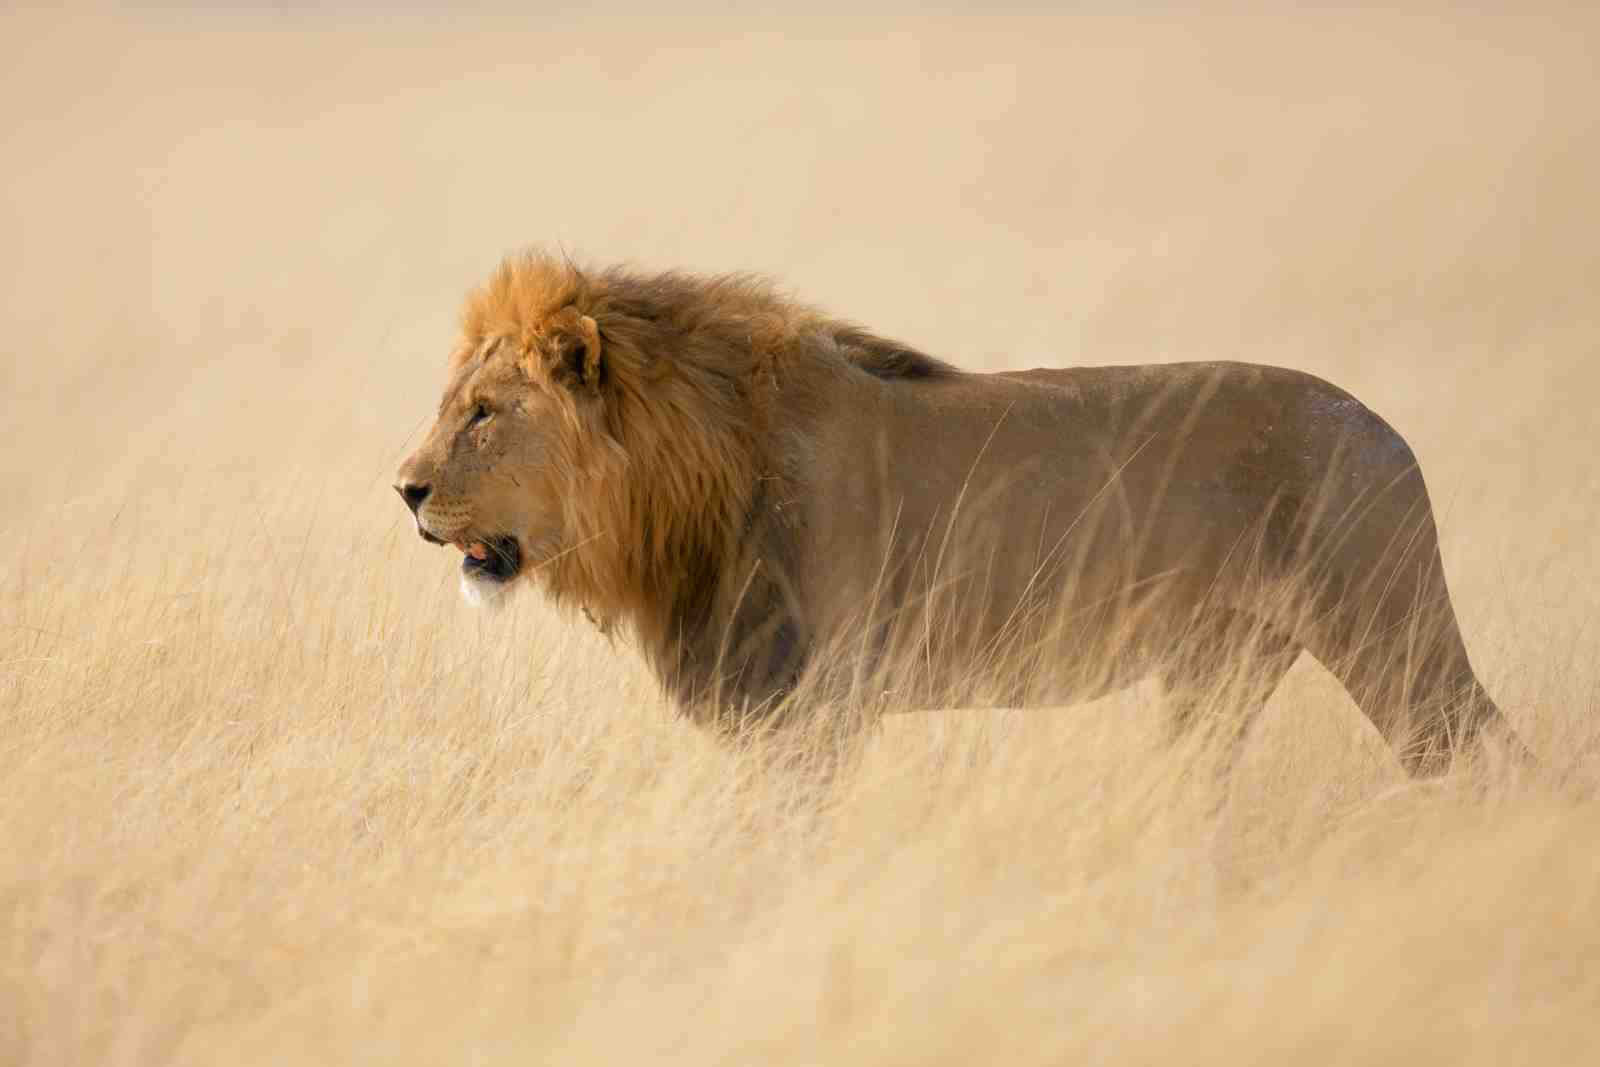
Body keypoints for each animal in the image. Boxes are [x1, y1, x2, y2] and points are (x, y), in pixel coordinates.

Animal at [394, 251, 1528, 776]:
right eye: (455, 401)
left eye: (484, 412)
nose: (403, 490)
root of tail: (1387, 429)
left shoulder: (814, 707)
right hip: (1220, 673)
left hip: (1391, 630)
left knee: (1486, 752)